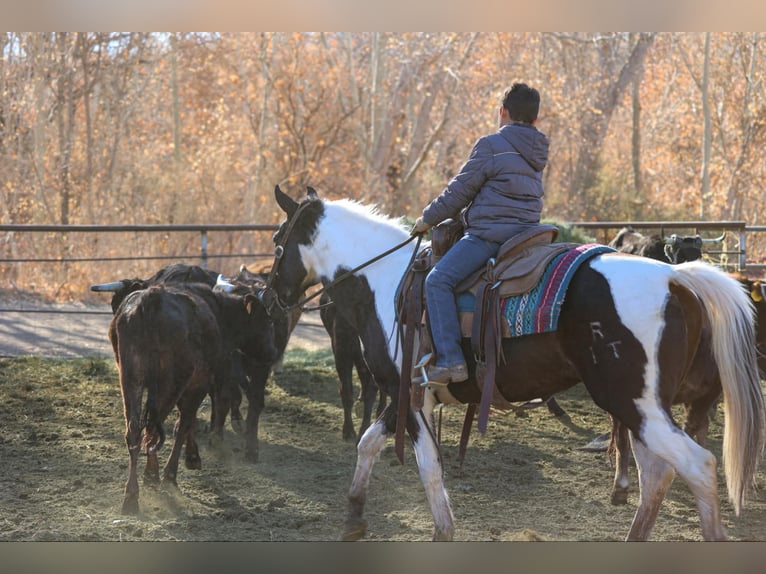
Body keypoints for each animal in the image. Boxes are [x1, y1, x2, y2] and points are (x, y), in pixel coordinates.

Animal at [264, 185, 765, 541]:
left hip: (635, 404)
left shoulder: (407, 390)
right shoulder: (407, 393)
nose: (270, 301)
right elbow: (370, 442)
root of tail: (677, 278)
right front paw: (354, 517)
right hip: (640, 409)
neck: (387, 282)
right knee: (657, 475)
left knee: (697, 466)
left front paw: (441, 532)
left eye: (276, 243)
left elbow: (426, 466)